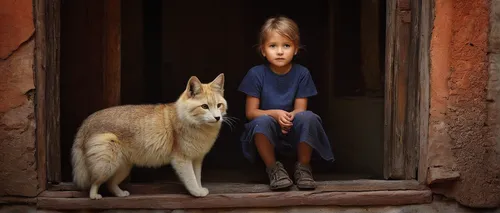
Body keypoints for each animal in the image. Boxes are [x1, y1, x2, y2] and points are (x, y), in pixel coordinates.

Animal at [70, 73, 227, 200]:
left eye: (219, 105)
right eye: (205, 106)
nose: (217, 118)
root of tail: (88, 120)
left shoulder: (196, 159)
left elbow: (197, 177)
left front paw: (199, 189)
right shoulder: (182, 159)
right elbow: (191, 178)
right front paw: (196, 192)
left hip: (123, 167)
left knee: (110, 183)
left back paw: (120, 194)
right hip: (107, 164)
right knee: (95, 182)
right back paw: (94, 196)